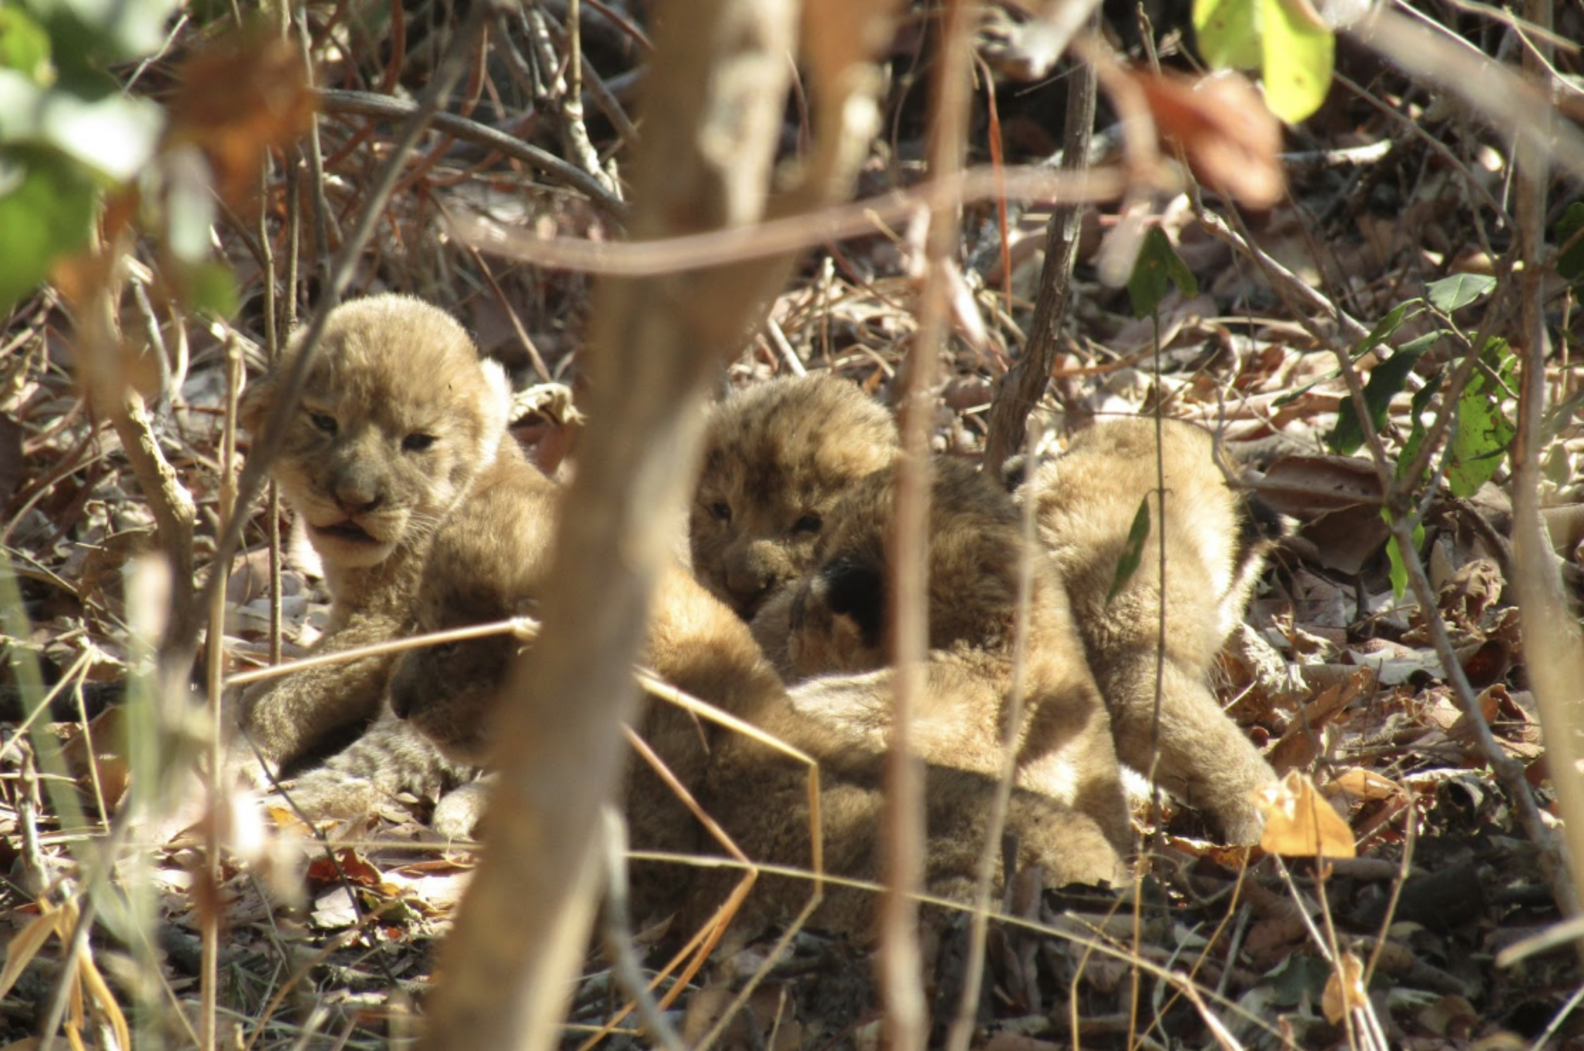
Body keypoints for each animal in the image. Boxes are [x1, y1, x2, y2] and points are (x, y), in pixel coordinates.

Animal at [234, 293, 514, 775]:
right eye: (324, 421)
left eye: (419, 440)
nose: (354, 499)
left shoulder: (388, 622)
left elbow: (281, 694)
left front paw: (232, 752)